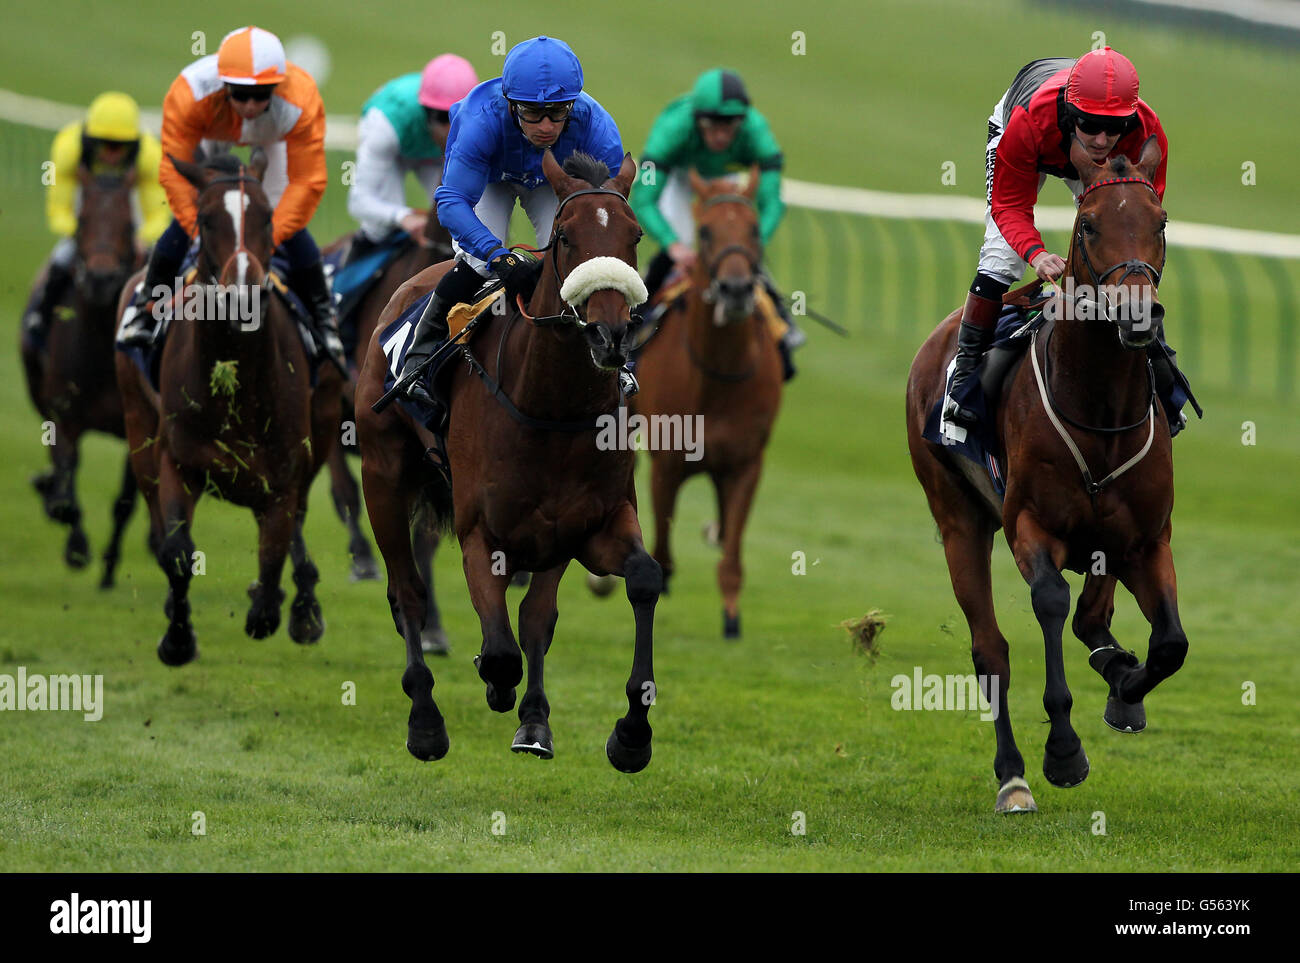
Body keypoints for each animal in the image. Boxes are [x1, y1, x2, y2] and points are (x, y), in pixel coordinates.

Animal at [23, 166, 142, 584]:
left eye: (128, 223)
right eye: (82, 219)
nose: (101, 279)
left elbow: (125, 501)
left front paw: (108, 568)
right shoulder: (64, 417)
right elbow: (65, 495)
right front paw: (77, 549)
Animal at [116, 152, 343, 660]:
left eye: (268, 217)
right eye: (204, 219)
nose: (242, 295)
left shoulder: (285, 470)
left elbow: (276, 547)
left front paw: (275, 608)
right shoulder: (179, 462)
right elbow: (177, 551)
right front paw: (178, 640)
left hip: (321, 427)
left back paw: (301, 604)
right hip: (139, 426)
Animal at [356, 150, 660, 764]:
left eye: (634, 234)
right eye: (565, 238)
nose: (611, 334)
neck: (549, 405)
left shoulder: (588, 526)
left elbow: (636, 580)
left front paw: (629, 735)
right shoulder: (481, 533)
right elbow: (498, 650)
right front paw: (492, 683)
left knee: (534, 617)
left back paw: (534, 721)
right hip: (382, 477)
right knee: (407, 594)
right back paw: (425, 722)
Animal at [631, 168, 780, 634]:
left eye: (754, 229)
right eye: (705, 232)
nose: (735, 290)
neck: (718, 375)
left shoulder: (746, 463)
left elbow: (732, 553)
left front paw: (731, 617)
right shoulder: (667, 464)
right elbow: (662, 554)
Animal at [904, 135, 1190, 810]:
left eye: (1161, 222)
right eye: (1088, 225)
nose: (1137, 316)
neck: (1100, 410)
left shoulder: (1145, 539)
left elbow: (1168, 643)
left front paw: (1125, 687)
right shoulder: (1030, 527)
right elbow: (1051, 603)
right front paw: (1062, 751)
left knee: (1095, 619)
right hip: (957, 520)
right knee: (991, 650)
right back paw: (1012, 776)